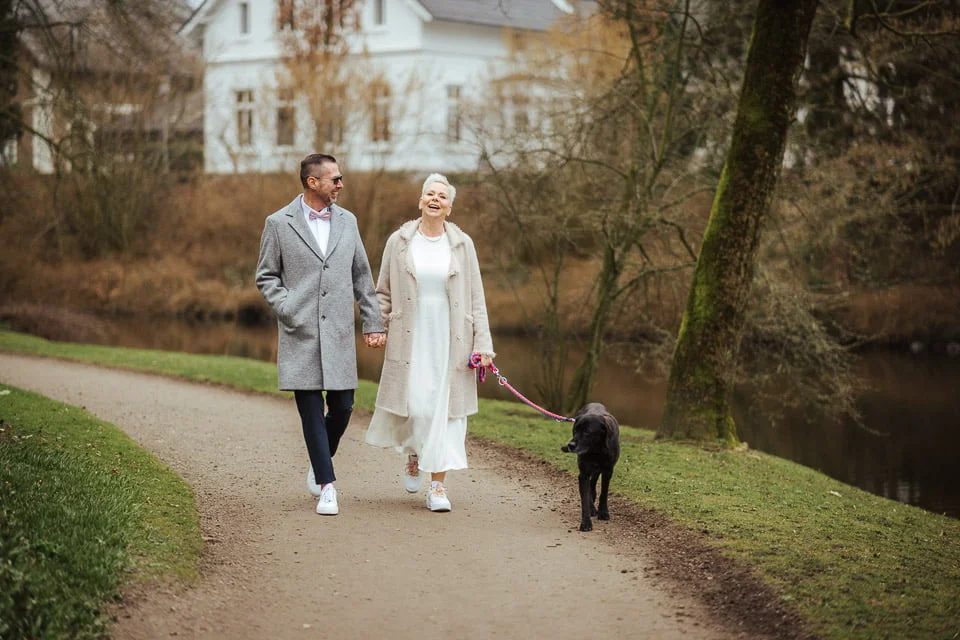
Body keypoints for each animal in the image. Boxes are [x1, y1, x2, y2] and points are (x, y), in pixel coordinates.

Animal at [560, 402, 620, 532]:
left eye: (587, 432)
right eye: (575, 430)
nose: (571, 445)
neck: (596, 450)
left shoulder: (608, 471)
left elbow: (604, 493)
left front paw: (603, 512)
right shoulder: (583, 474)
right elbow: (585, 499)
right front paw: (586, 522)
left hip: (598, 471)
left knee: (593, 484)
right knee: (590, 488)